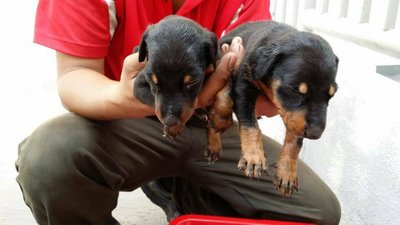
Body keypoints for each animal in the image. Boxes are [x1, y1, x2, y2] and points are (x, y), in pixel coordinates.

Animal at [211, 20, 340, 197]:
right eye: (295, 90)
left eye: (331, 95)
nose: (315, 134)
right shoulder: (243, 82)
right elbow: (250, 125)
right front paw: (254, 158)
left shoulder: (295, 118)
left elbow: (295, 141)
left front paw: (287, 173)